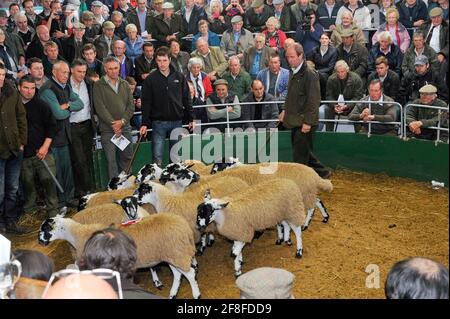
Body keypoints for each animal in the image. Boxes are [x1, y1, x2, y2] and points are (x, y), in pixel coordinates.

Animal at [38, 214, 200, 298]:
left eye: (45, 229)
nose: (39, 241)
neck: (76, 234)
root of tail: (184, 226)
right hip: (173, 253)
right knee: (178, 274)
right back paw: (172, 294)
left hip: (177, 252)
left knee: (190, 274)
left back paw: (196, 294)